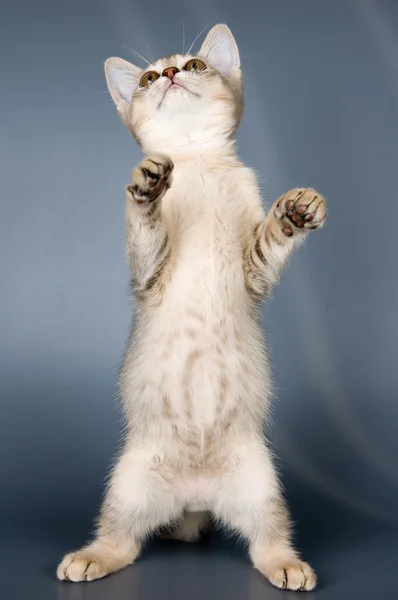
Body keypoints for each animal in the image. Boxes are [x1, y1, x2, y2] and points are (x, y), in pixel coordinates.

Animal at [57, 22, 328, 592]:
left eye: (196, 65)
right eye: (147, 78)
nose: (171, 75)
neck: (198, 164)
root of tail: (195, 497)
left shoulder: (253, 278)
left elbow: (270, 240)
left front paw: (296, 211)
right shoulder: (147, 276)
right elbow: (144, 228)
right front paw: (148, 185)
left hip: (262, 482)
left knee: (267, 539)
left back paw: (288, 565)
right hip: (127, 482)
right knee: (120, 540)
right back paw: (89, 558)